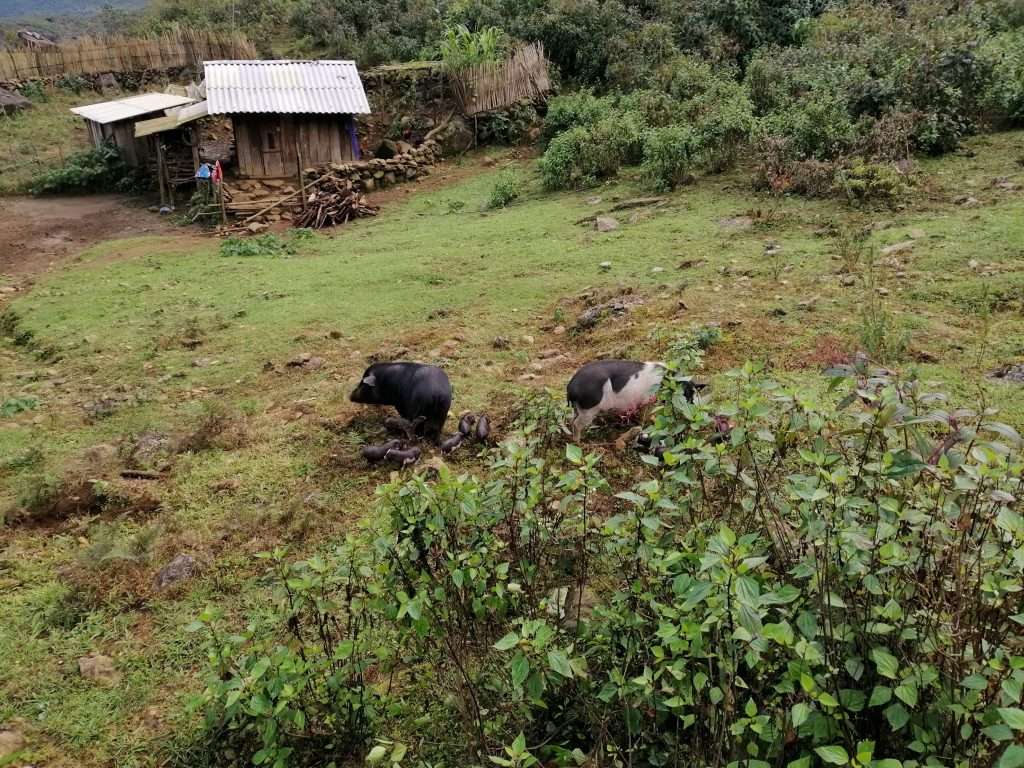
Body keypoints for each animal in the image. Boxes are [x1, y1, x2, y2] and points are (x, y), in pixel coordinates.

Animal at [565, 362, 700, 442]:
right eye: (686, 394)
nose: (693, 409)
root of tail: (570, 387)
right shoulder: (647, 399)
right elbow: (648, 415)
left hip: (578, 409)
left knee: (572, 420)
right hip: (589, 409)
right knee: (576, 424)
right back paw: (578, 442)